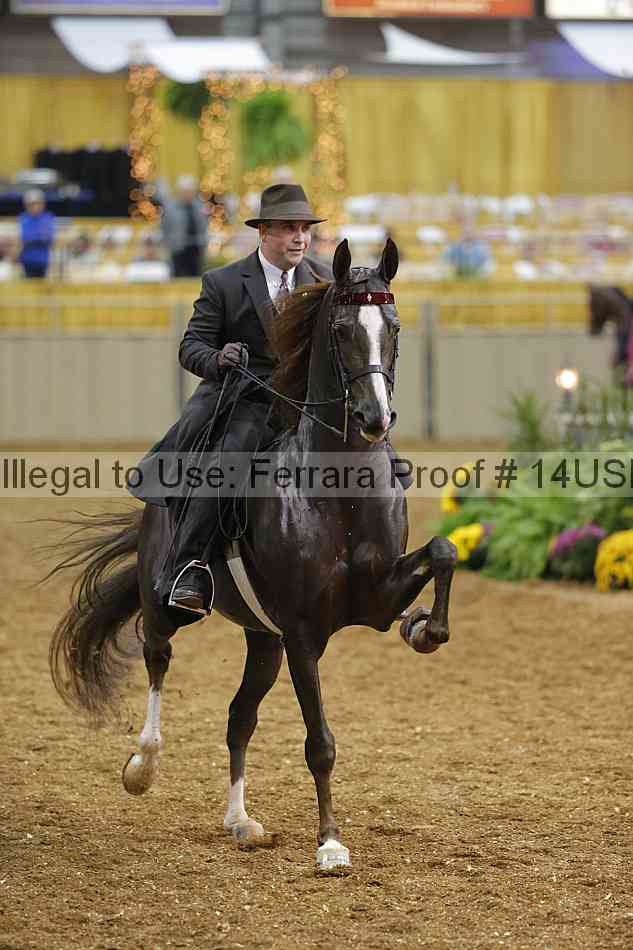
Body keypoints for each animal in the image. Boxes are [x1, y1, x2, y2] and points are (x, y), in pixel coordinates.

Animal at [47, 238, 457, 872]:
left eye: (392, 326)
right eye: (341, 329)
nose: (374, 419)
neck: (340, 491)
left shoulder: (371, 603)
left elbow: (442, 551)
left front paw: (425, 629)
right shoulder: (304, 634)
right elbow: (320, 743)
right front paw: (330, 843)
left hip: (264, 641)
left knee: (239, 717)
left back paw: (240, 821)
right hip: (170, 603)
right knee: (157, 657)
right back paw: (143, 765)